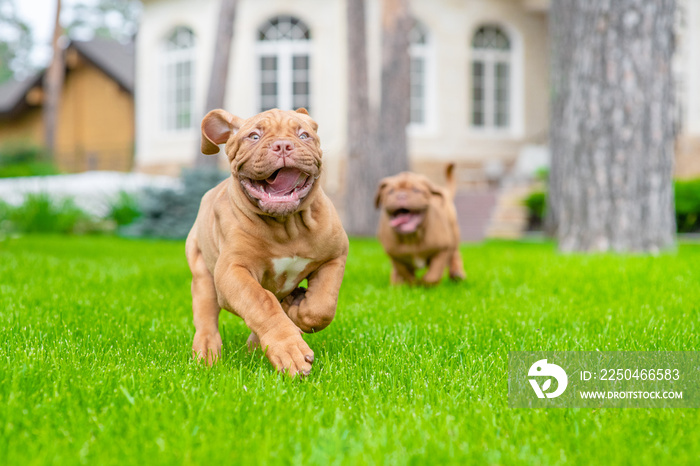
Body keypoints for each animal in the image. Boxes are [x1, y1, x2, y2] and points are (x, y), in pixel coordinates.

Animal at [186, 107, 350, 376]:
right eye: (254, 136)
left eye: (304, 135)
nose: (283, 145)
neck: (286, 227)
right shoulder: (232, 271)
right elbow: (261, 301)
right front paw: (289, 349)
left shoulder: (334, 257)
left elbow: (321, 306)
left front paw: (298, 311)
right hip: (202, 272)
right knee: (206, 316)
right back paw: (207, 353)